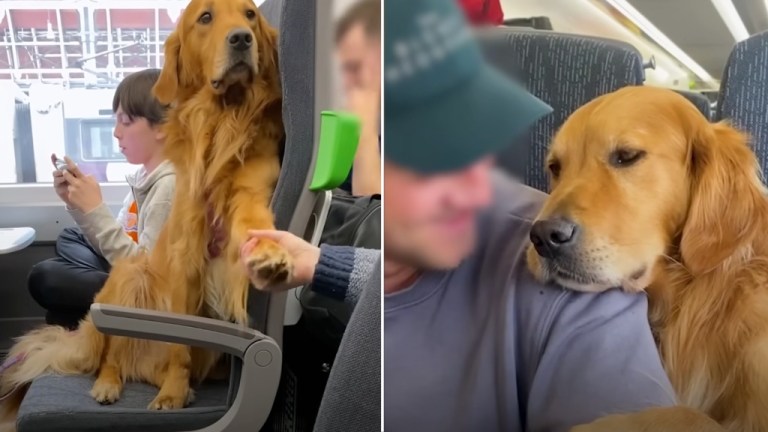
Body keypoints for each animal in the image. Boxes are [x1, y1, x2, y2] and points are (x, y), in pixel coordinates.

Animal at [0, 0, 292, 426]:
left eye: (250, 15)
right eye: (206, 17)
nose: (241, 38)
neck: (223, 118)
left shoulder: (252, 194)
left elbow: (254, 223)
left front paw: (271, 254)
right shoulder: (184, 253)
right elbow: (179, 350)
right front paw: (172, 392)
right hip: (129, 276)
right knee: (111, 355)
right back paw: (108, 385)